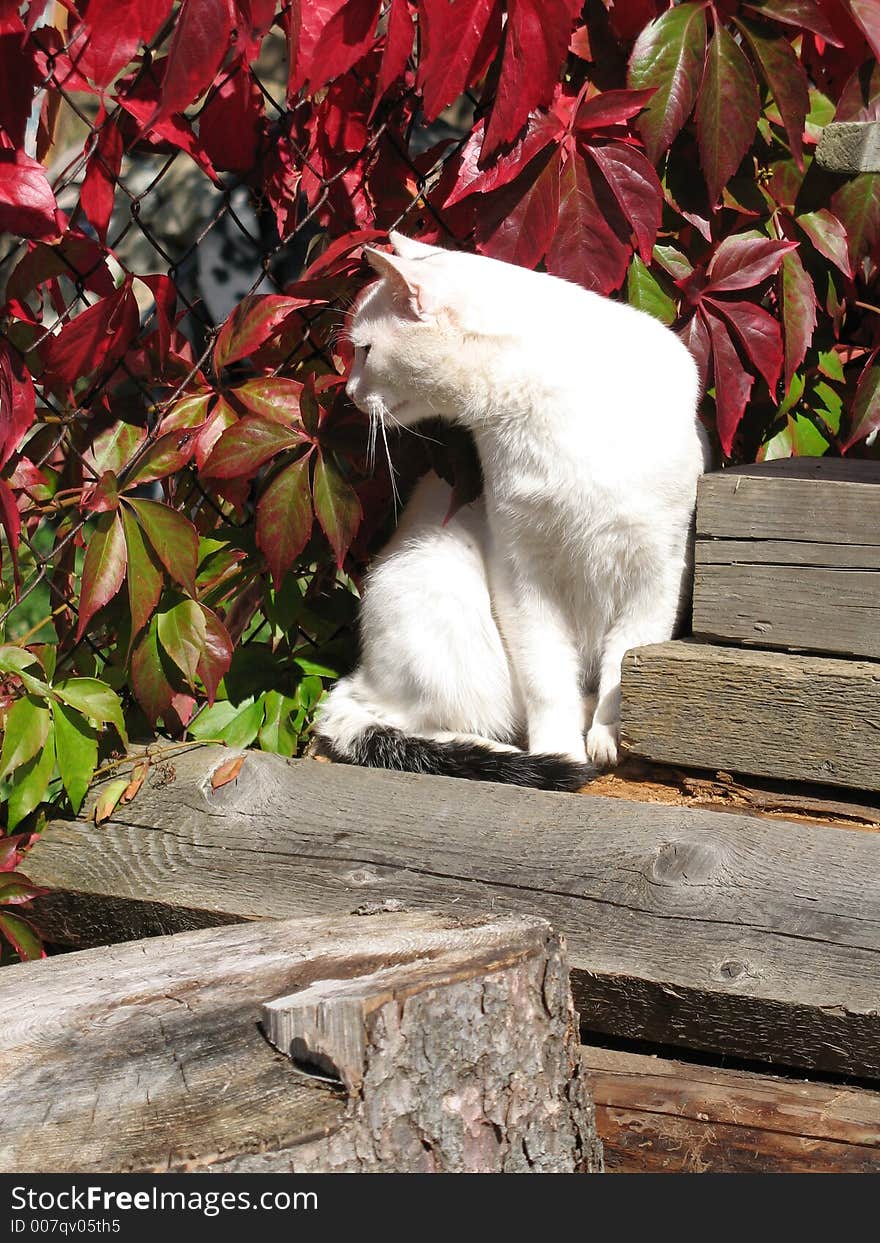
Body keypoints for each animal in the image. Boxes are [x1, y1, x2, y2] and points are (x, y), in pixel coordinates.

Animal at [313, 229, 710, 790]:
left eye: (366, 351)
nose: (349, 393)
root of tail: (363, 675)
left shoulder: (659, 568)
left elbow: (625, 661)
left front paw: (608, 734)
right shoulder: (522, 572)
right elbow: (546, 679)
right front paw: (560, 751)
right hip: (438, 593)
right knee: (407, 720)